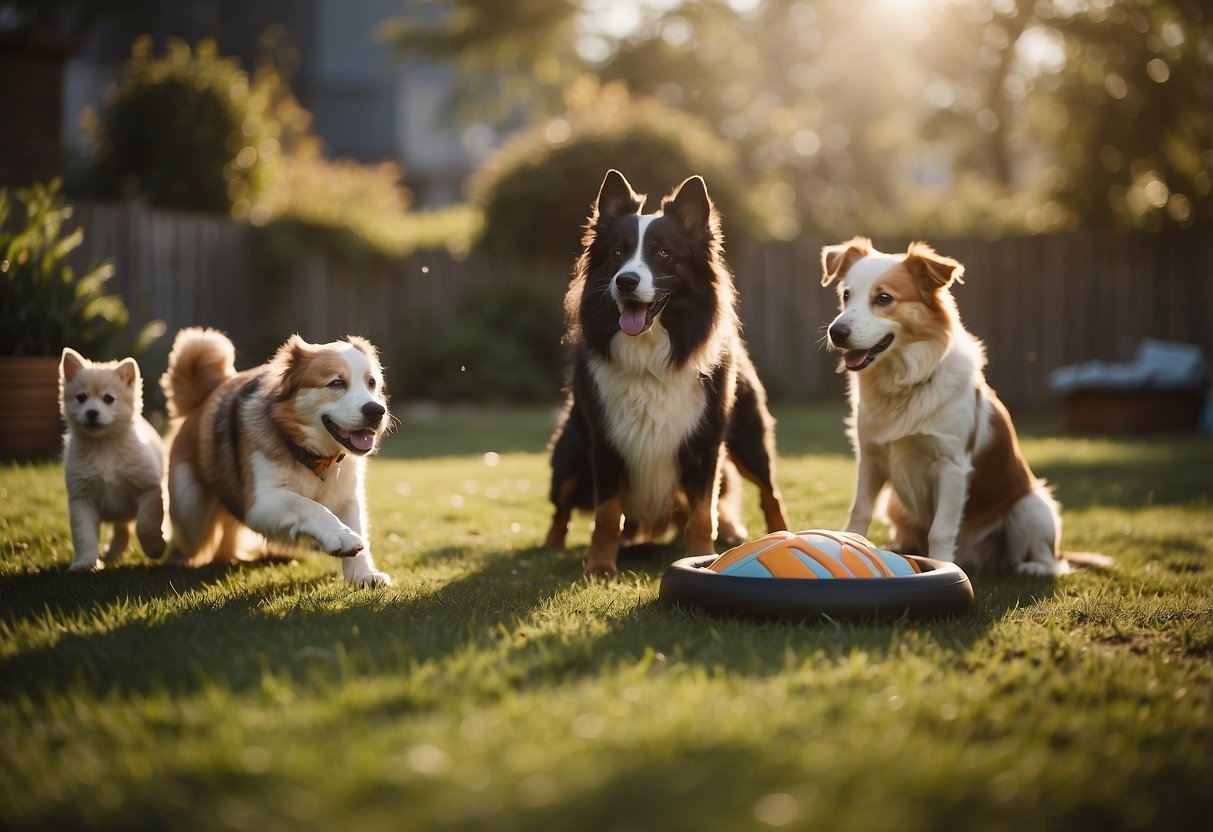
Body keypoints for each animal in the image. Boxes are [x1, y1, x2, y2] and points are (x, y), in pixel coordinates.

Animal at [162, 325, 393, 587]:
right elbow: (306, 505)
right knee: (187, 539)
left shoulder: (347, 496)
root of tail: (203, 399)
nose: (376, 411)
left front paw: (361, 575)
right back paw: (181, 562)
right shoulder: (258, 504)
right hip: (190, 507)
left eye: (372, 383)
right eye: (336, 383)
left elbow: (357, 526)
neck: (314, 458)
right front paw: (339, 535)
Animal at [548, 169, 790, 572]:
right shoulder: (604, 442)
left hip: (748, 440)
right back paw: (551, 544)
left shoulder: (706, 442)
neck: (648, 356)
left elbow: (703, 510)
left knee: (770, 492)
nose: (625, 281)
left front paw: (702, 554)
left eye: (664, 253)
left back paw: (777, 533)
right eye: (618, 252)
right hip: (569, 451)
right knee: (560, 507)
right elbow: (607, 514)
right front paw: (599, 566)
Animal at [824, 237, 1111, 577]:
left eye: (883, 298)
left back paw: (1033, 567)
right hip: (895, 504)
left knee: (1051, 560)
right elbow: (859, 512)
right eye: (846, 295)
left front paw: (944, 565)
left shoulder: (951, 466)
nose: (836, 332)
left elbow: (941, 530)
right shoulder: (871, 458)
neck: (903, 383)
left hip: (1032, 505)